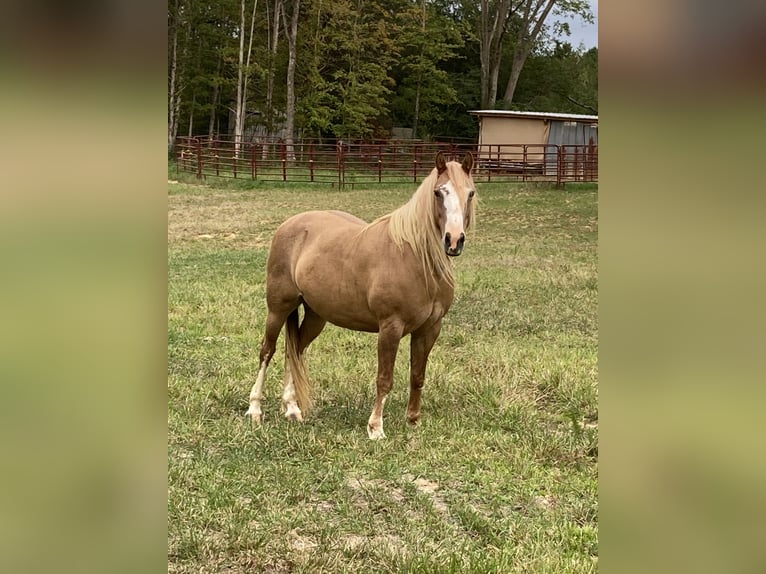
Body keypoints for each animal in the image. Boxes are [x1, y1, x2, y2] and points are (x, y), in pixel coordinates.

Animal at [246, 151, 476, 438]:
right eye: (438, 192)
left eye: (470, 193)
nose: (454, 241)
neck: (416, 258)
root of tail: (290, 224)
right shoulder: (390, 327)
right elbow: (384, 379)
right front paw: (376, 428)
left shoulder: (430, 328)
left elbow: (417, 375)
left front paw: (413, 420)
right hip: (278, 307)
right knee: (267, 351)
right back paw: (255, 409)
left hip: (315, 316)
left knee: (295, 350)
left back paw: (292, 408)